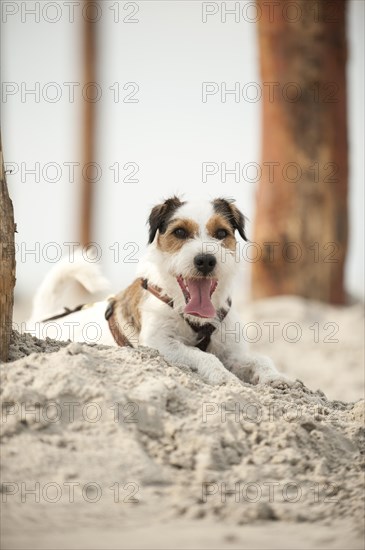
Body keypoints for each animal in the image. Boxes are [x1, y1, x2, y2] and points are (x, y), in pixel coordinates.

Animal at [27, 198, 290, 388]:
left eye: (221, 233)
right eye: (180, 232)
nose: (205, 260)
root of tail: (39, 320)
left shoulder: (231, 351)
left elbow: (260, 358)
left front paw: (275, 377)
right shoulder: (159, 344)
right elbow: (202, 355)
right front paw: (222, 376)